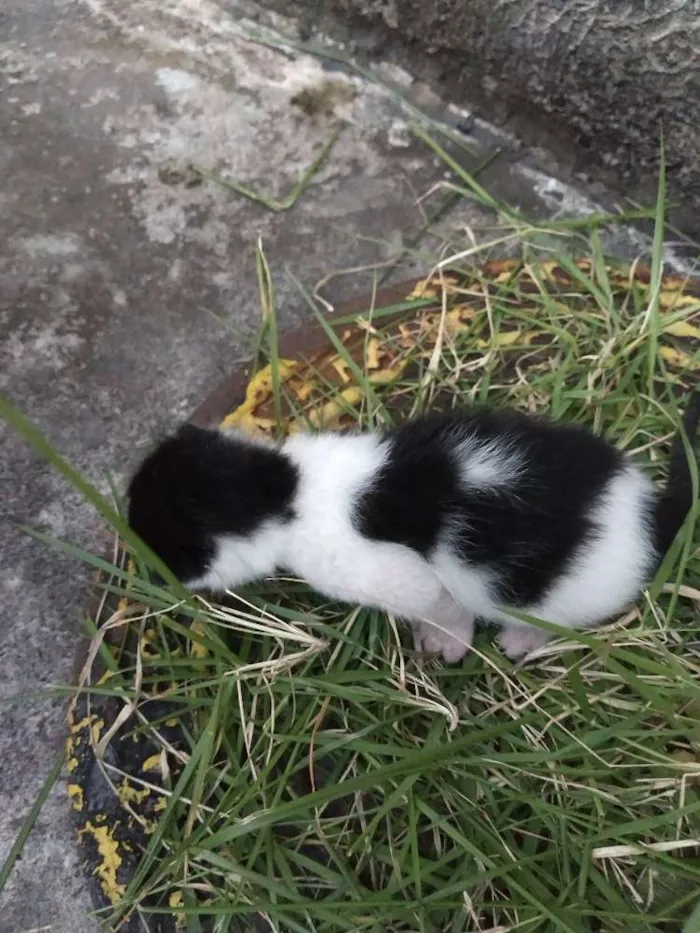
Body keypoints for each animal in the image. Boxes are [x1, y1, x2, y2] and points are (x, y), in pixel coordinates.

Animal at [129, 396, 696, 660]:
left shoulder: (388, 573)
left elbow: (438, 600)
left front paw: (446, 640)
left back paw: (523, 638)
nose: (148, 576)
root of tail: (647, 513)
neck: (288, 490)